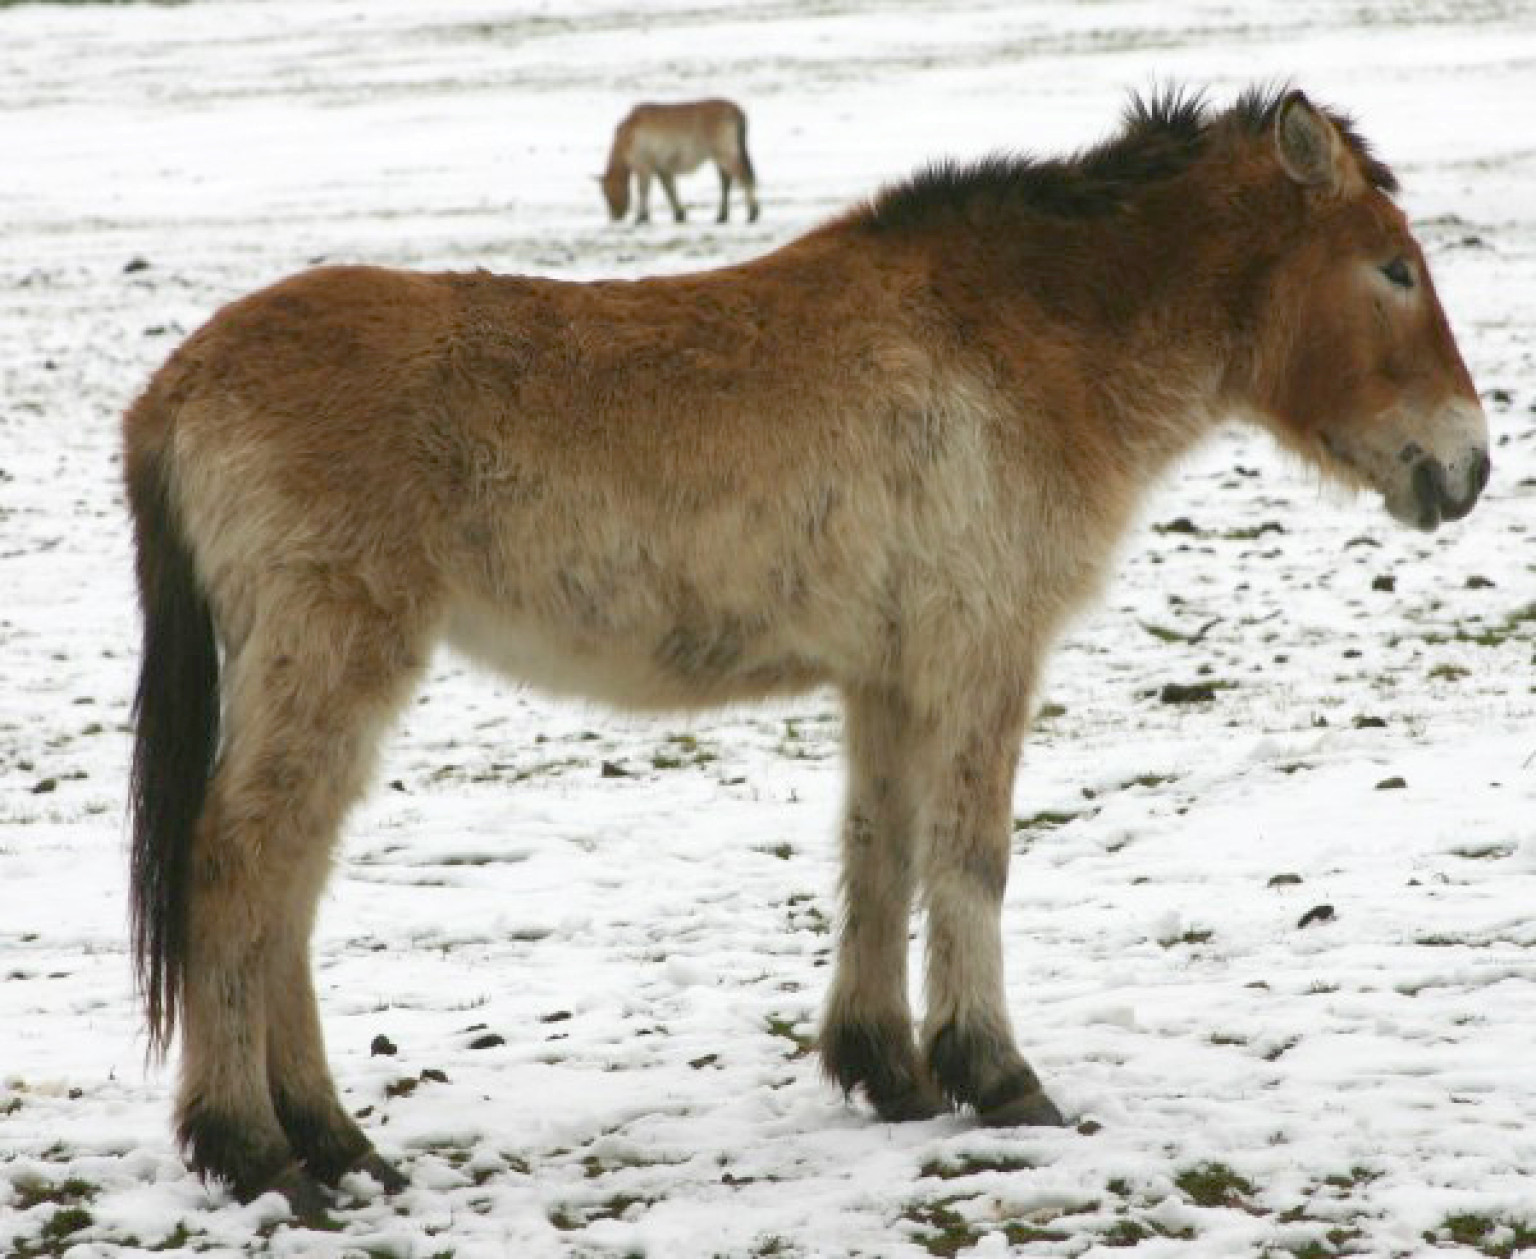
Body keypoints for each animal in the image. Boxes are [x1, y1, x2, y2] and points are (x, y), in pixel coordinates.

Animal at [595, 99, 758, 227]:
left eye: (607, 193)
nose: (615, 217)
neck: (628, 136)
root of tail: (737, 112)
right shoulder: (662, 168)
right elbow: (670, 190)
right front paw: (679, 215)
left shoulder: (644, 167)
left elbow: (643, 191)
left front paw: (641, 218)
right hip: (719, 158)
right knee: (726, 183)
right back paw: (722, 216)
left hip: (726, 155)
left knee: (744, 178)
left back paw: (752, 214)